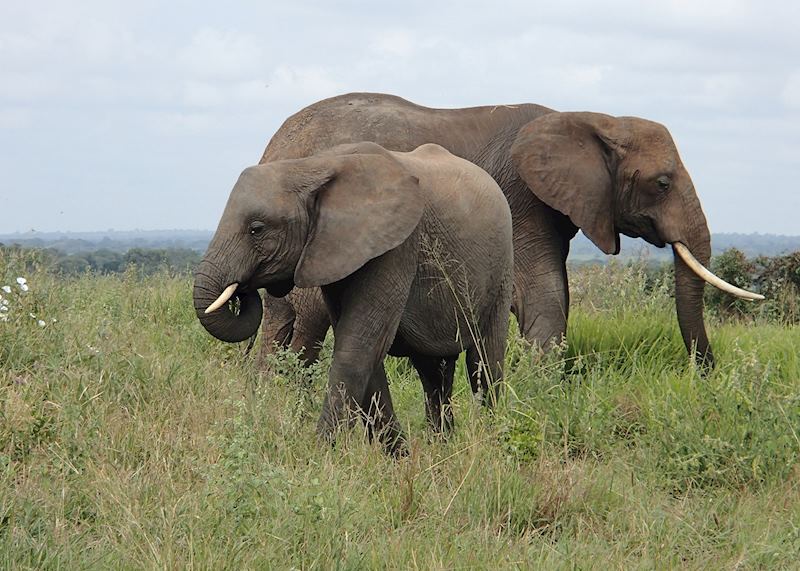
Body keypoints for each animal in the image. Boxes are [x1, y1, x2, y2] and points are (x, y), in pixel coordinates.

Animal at [194, 142, 514, 453]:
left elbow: (359, 345)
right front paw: (396, 456)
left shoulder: (395, 245)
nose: (241, 293)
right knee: (434, 371)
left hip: (500, 272)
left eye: (256, 229)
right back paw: (442, 446)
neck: (313, 166)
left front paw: (320, 454)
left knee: (484, 362)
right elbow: (365, 350)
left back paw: (490, 443)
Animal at [255, 93, 762, 371]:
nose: (707, 373)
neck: (593, 120)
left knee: (282, 318)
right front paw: (540, 388)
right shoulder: (520, 197)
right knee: (308, 315)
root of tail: (274, 142)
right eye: (661, 183)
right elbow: (544, 294)